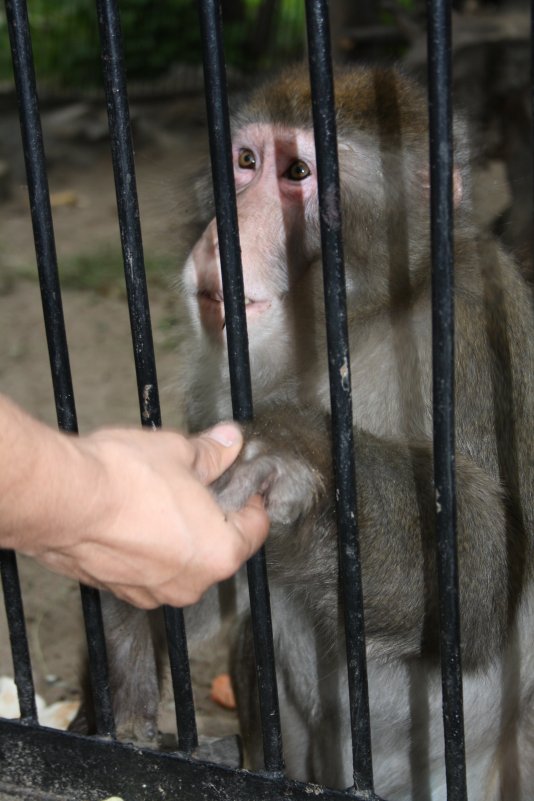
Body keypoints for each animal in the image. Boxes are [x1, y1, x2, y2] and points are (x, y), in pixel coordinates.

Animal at [75, 67, 534, 800]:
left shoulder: (474, 327)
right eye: (245, 161)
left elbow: (487, 575)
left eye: (297, 172)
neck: (359, 323)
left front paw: (296, 450)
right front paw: (123, 619)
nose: (224, 236)